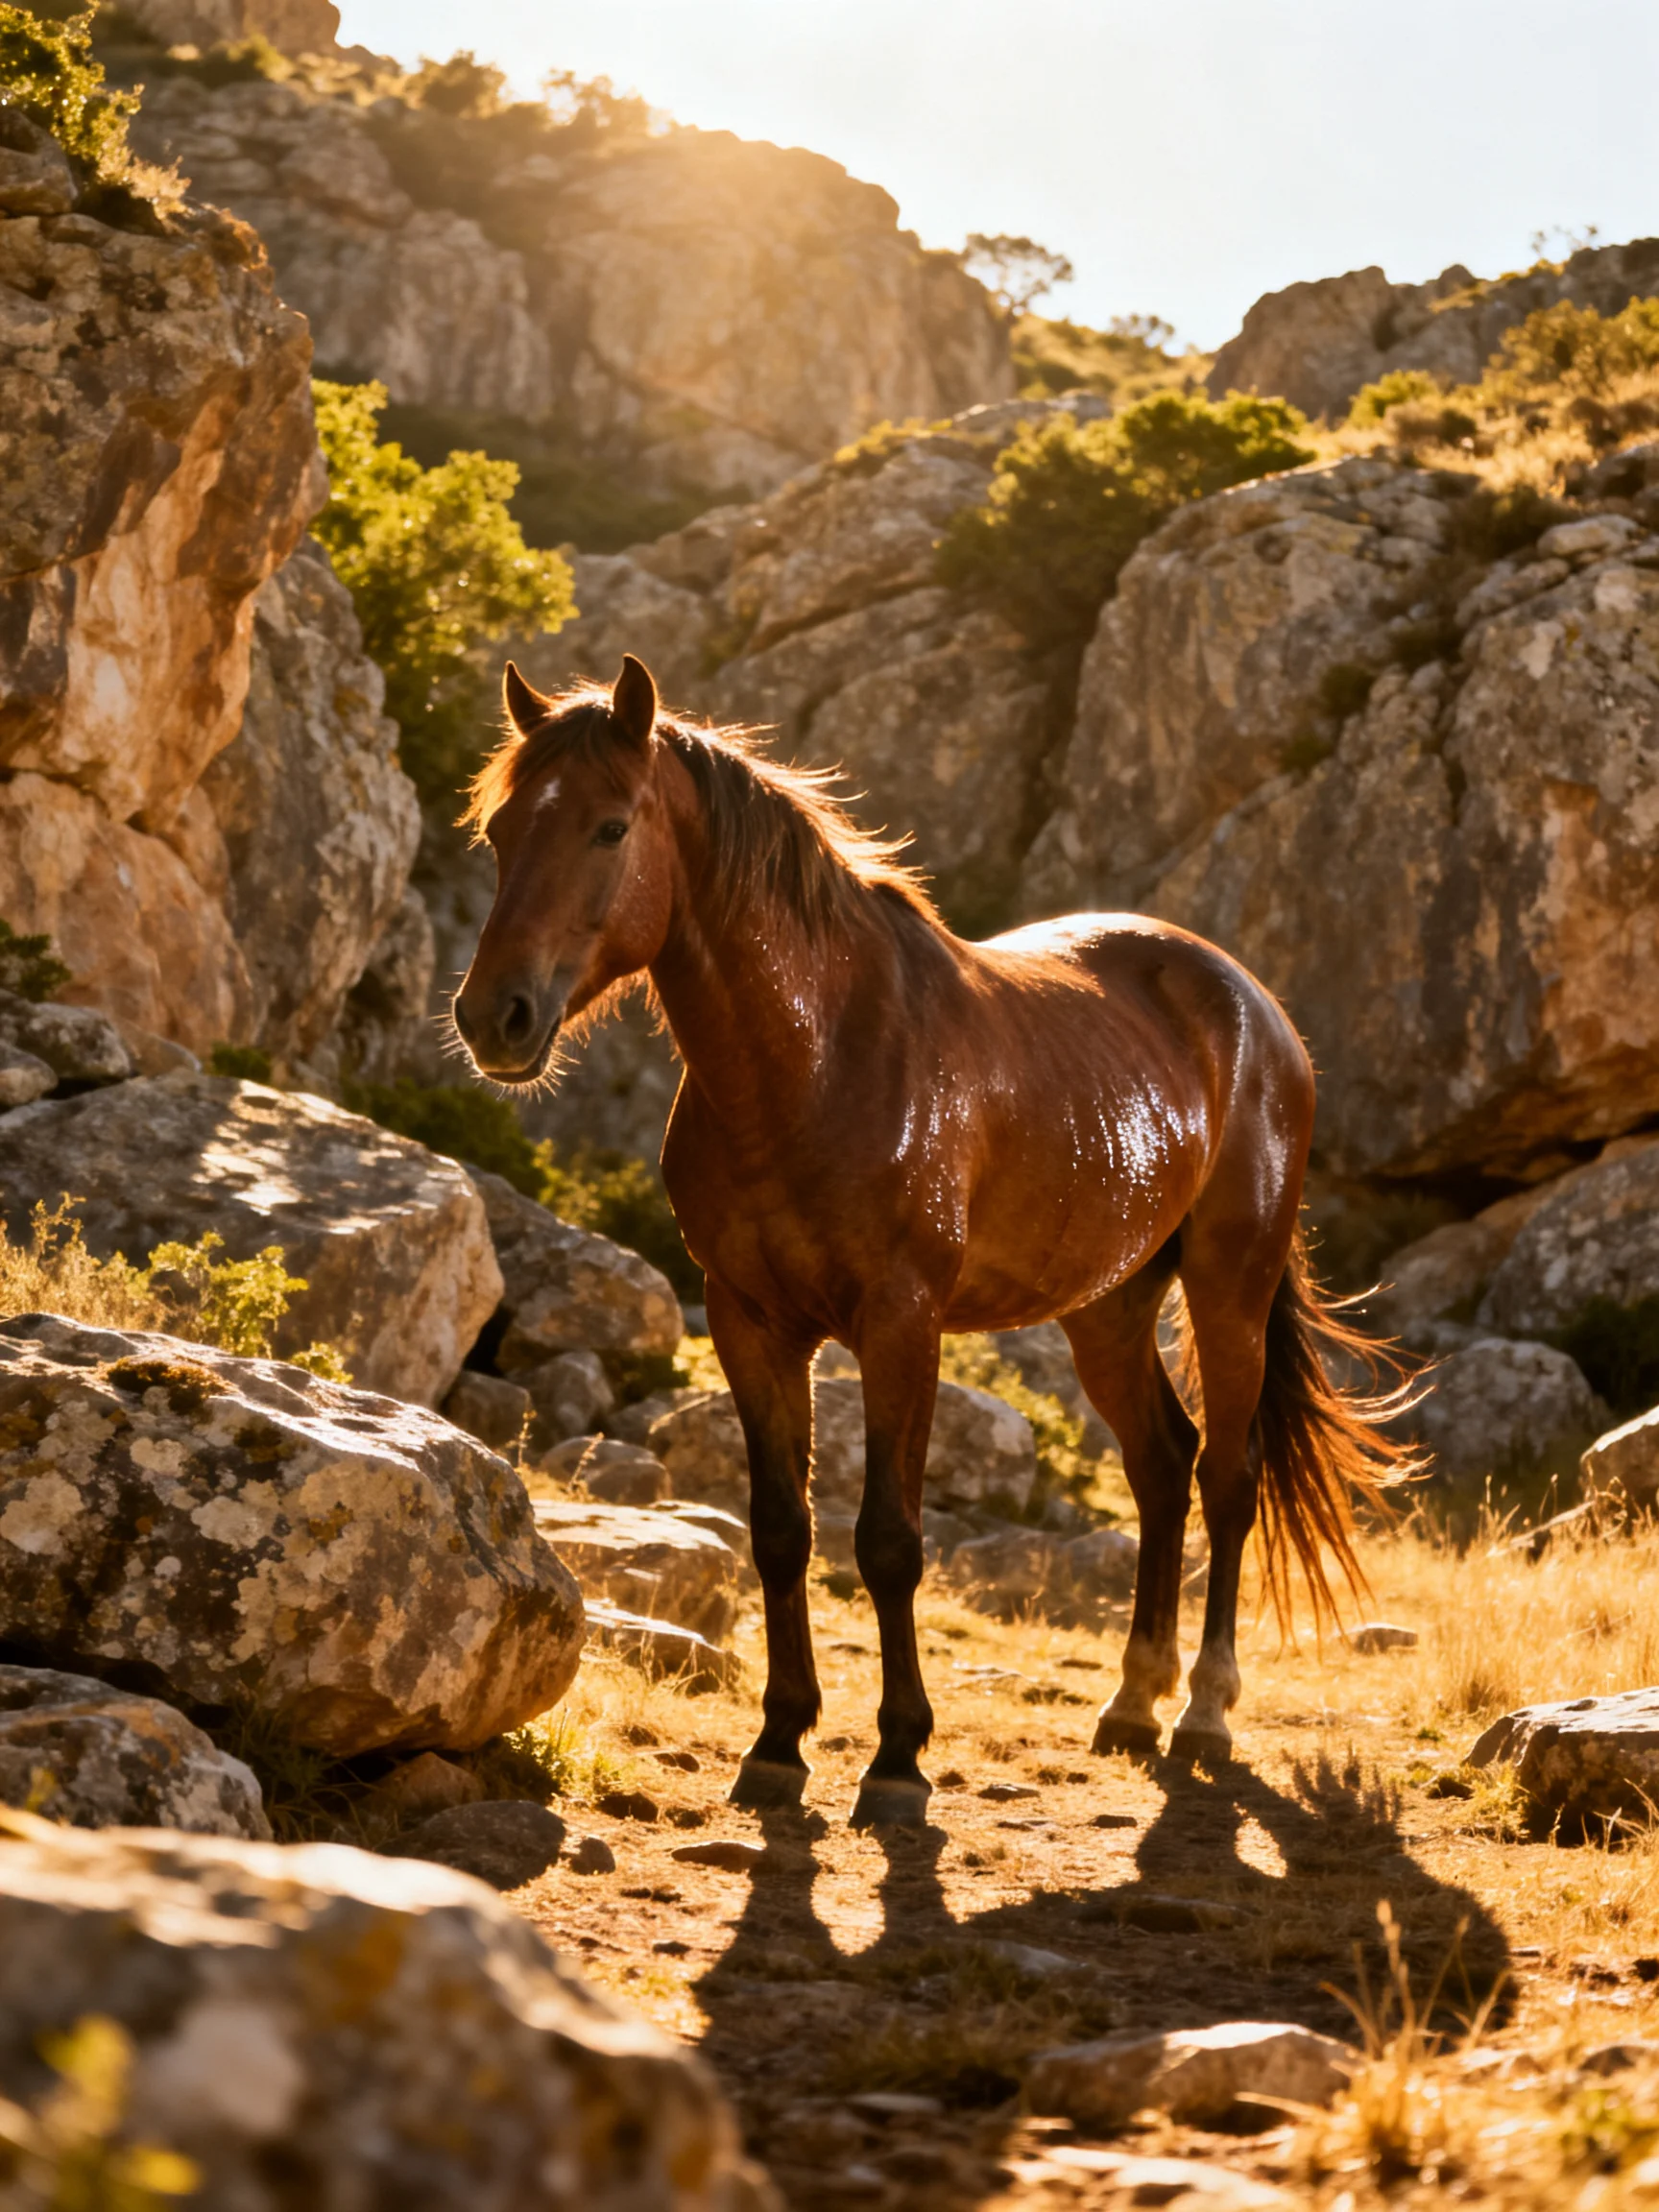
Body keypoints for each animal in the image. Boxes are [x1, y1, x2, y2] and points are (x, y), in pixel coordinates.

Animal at [454, 654, 1413, 1827]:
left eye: (608, 826)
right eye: (501, 831)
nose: (493, 1017)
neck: (816, 1063)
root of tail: (1255, 1010)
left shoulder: (901, 1323)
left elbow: (889, 1540)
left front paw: (899, 1758)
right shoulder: (748, 1320)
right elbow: (781, 1530)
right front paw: (778, 1744)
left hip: (1229, 1288)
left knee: (1228, 1480)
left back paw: (1203, 1714)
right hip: (1109, 1307)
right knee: (1162, 1465)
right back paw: (1132, 1705)